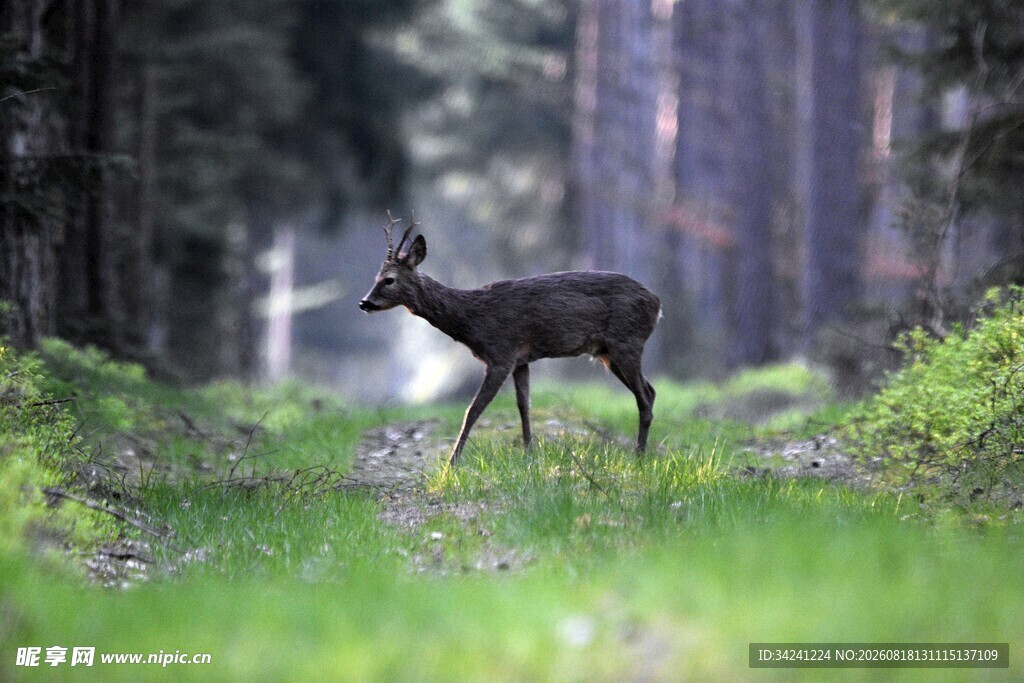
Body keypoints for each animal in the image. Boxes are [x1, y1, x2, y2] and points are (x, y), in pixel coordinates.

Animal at [359, 212, 661, 465]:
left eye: (389, 279)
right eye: (375, 277)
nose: (364, 302)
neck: (471, 319)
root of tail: (657, 303)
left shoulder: (500, 354)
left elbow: (473, 410)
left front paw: (451, 464)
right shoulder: (521, 360)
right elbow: (523, 406)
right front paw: (529, 454)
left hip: (626, 341)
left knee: (645, 397)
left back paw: (639, 457)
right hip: (608, 352)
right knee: (651, 391)